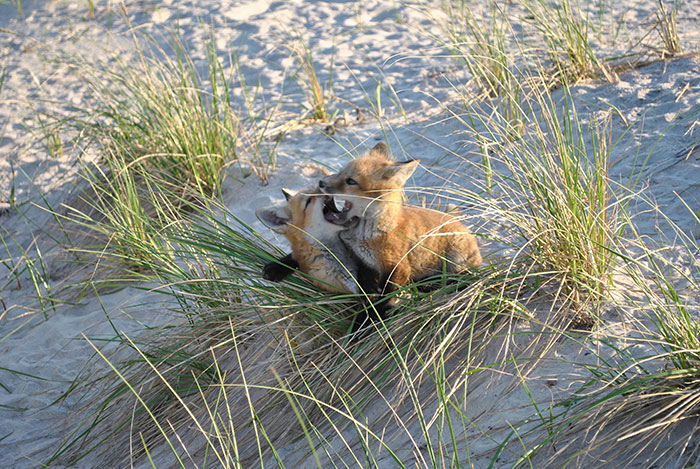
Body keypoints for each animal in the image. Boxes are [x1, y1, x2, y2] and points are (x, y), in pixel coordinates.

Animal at [318, 142, 482, 297]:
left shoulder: (397, 267)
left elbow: (386, 296)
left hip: (456, 261)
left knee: (459, 278)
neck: (365, 235)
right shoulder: (364, 264)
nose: (320, 182)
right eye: (340, 172)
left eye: (351, 181)